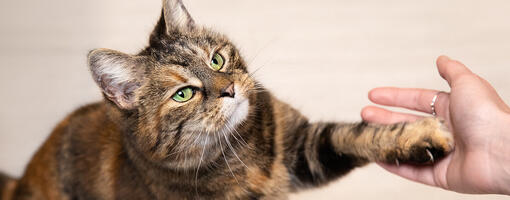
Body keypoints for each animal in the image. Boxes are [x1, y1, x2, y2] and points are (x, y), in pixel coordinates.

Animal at [0, 0, 454, 199]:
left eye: (216, 59)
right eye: (183, 93)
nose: (229, 88)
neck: (243, 152)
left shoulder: (303, 148)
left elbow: (360, 135)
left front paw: (422, 137)